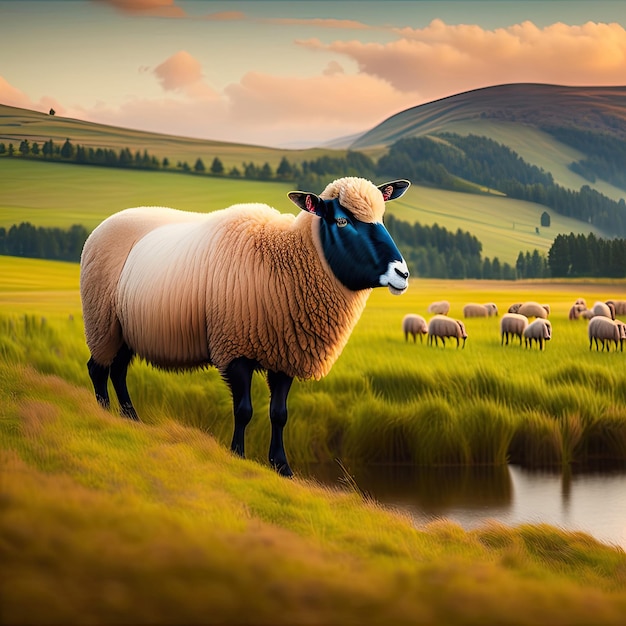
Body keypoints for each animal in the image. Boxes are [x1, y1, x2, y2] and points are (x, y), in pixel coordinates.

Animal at [79, 173, 410, 476]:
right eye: (342, 221)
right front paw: (237, 455)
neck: (286, 258)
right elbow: (244, 410)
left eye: (381, 217)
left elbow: (279, 414)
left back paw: (130, 418)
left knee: (118, 371)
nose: (402, 273)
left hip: (123, 331)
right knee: (98, 369)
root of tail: (105, 223)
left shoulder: (285, 353)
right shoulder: (234, 347)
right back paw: (103, 413)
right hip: (101, 321)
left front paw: (282, 466)